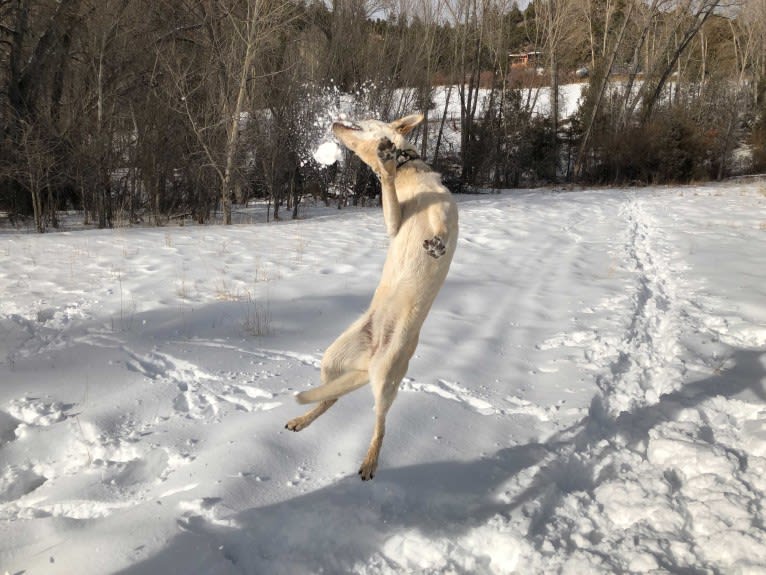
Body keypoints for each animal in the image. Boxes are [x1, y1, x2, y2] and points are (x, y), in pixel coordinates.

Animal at [286, 113, 456, 482]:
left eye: (363, 121)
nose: (335, 123)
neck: (408, 174)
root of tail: (371, 358)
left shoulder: (447, 212)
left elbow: (441, 229)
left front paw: (436, 245)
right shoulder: (393, 222)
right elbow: (388, 195)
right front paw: (385, 164)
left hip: (387, 376)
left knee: (381, 423)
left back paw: (370, 461)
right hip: (334, 358)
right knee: (331, 399)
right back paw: (302, 420)